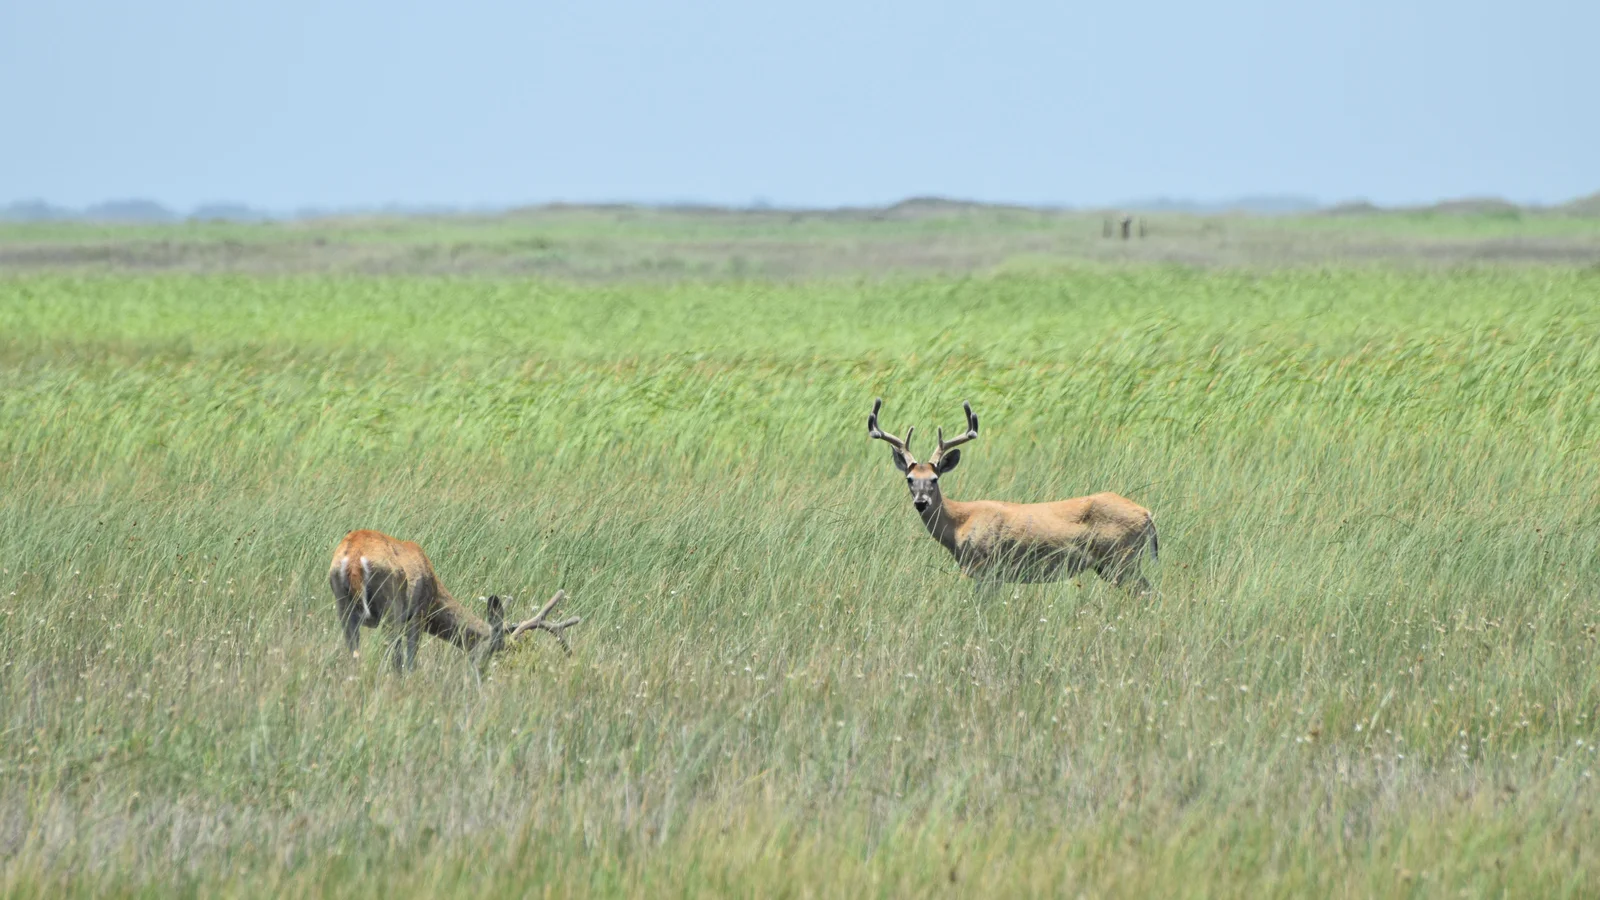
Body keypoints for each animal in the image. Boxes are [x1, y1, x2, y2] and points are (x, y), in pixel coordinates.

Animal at [327, 529, 581, 672]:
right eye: (499, 648)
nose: (485, 671)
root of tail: (353, 560)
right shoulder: (417, 615)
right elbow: (409, 660)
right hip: (392, 607)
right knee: (391, 655)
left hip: (343, 606)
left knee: (354, 654)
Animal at [867, 398, 1159, 596]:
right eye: (910, 479)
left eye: (934, 479)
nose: (921, 502)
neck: (959, 523)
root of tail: (1147, 514)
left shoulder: (986, 569)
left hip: (1122, 558)